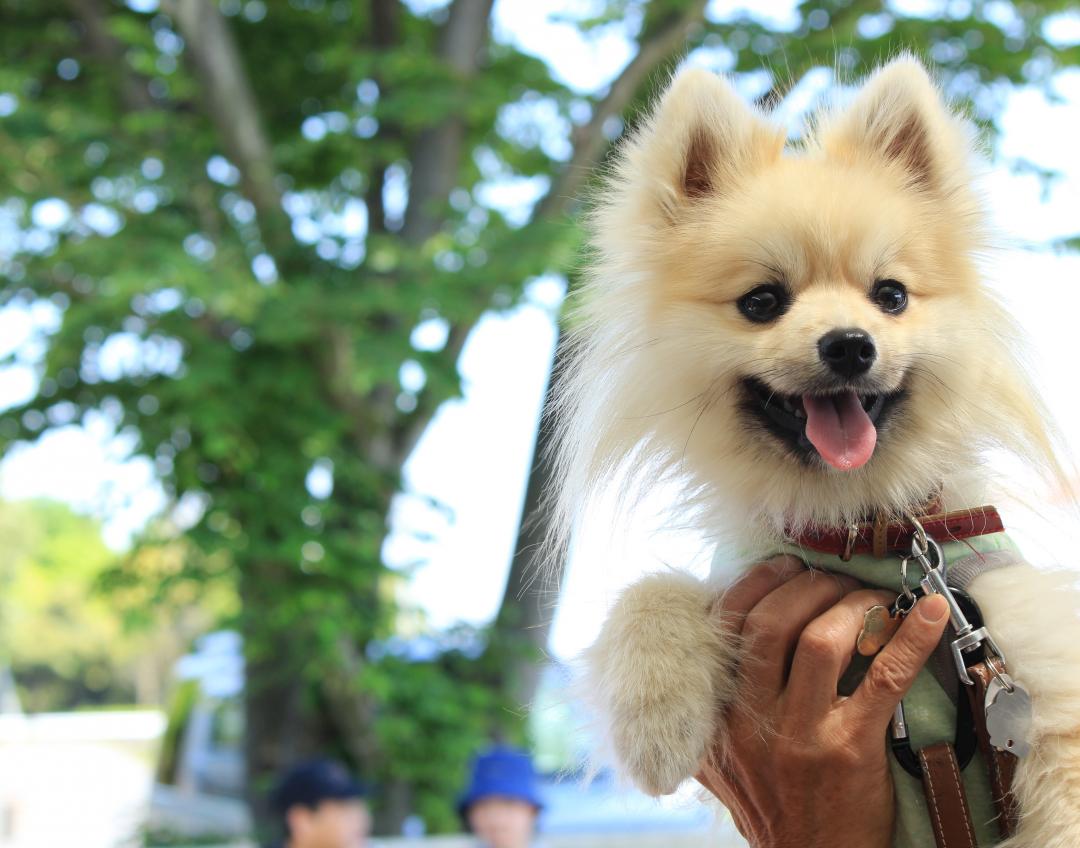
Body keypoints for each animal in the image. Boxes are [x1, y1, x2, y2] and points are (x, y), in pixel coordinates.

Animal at [552, 56, 1075, 842]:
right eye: (762, 302)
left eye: (891, 295)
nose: (850, 345)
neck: (861, 527)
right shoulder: (747, 577)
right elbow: (649, 592)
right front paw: (656, 723)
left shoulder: (1034, 659)